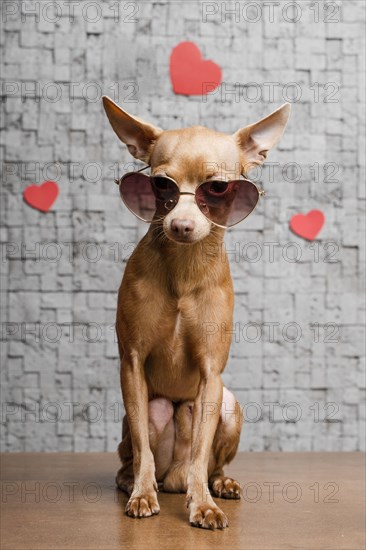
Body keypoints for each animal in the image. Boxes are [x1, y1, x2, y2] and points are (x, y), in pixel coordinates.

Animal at [102, 96, 288, 532]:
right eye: (161, 185)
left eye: (217, 188)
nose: (182, 224)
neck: (183, 271)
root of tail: (174, 478)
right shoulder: (131, 364)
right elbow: (141, 446)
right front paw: (142, 494)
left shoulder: (210, 375)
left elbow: (202, 450)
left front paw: (202, 504)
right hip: (152, 410)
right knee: (134, 453)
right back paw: (134, 481)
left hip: (229, 405)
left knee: (205, 463)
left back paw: (218, 483)